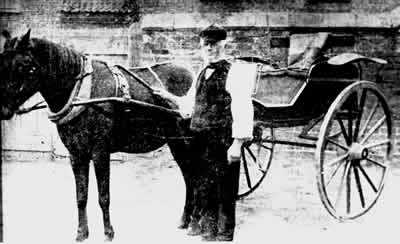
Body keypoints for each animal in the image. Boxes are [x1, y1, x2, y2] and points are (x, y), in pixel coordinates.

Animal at [0, 29, 198, 241]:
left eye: (24, 66)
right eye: (2, 62)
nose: (3, 109)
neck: (82, 94)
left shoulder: (100, 152)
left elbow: (104, 196)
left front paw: (108, 232)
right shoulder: (76, 154)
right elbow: (81, 196)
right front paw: (81, 232)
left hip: (186, 142)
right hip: (176, 143)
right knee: (189, 176)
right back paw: (186, 220)